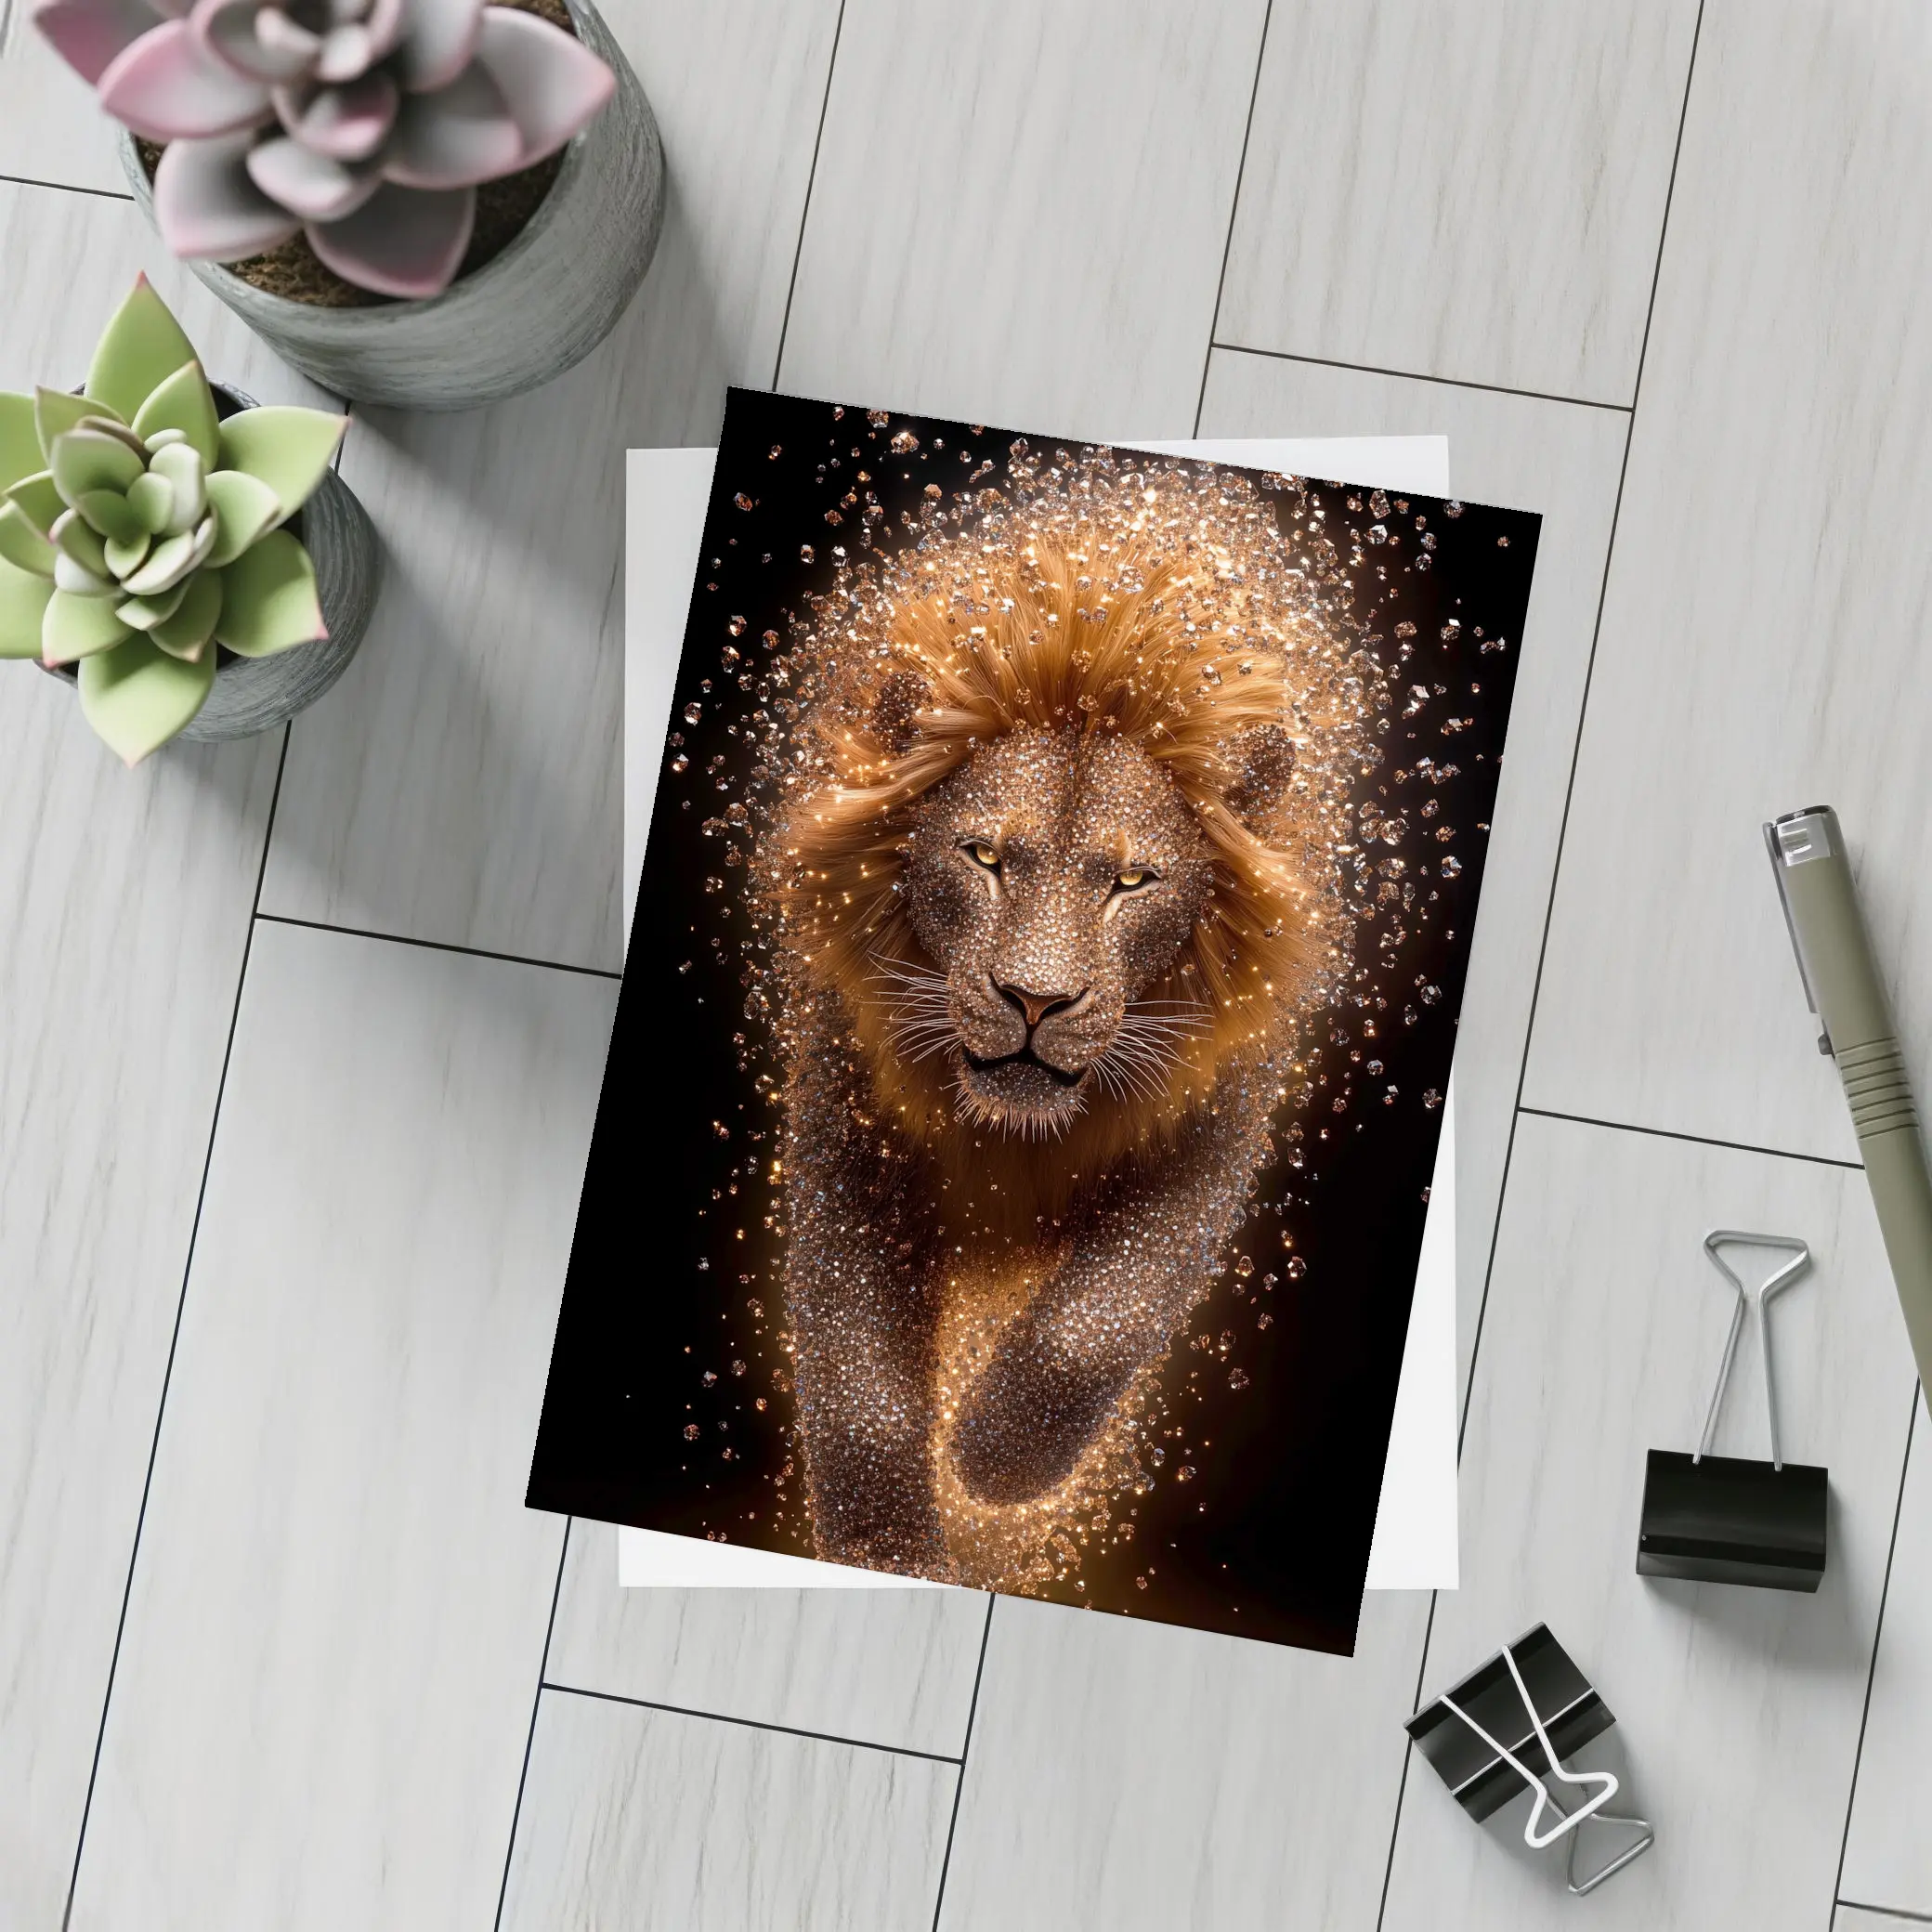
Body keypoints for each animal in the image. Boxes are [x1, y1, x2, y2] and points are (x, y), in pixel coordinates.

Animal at [753, 454, 1374, 1586]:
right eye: (985, 857)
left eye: (1131, 881)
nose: (1035, 1001)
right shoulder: (848, 1115)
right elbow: (859, 1373)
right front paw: (886, 1548)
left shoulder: (1213, 1125)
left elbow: (1089, 1330)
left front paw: (996, 1464)